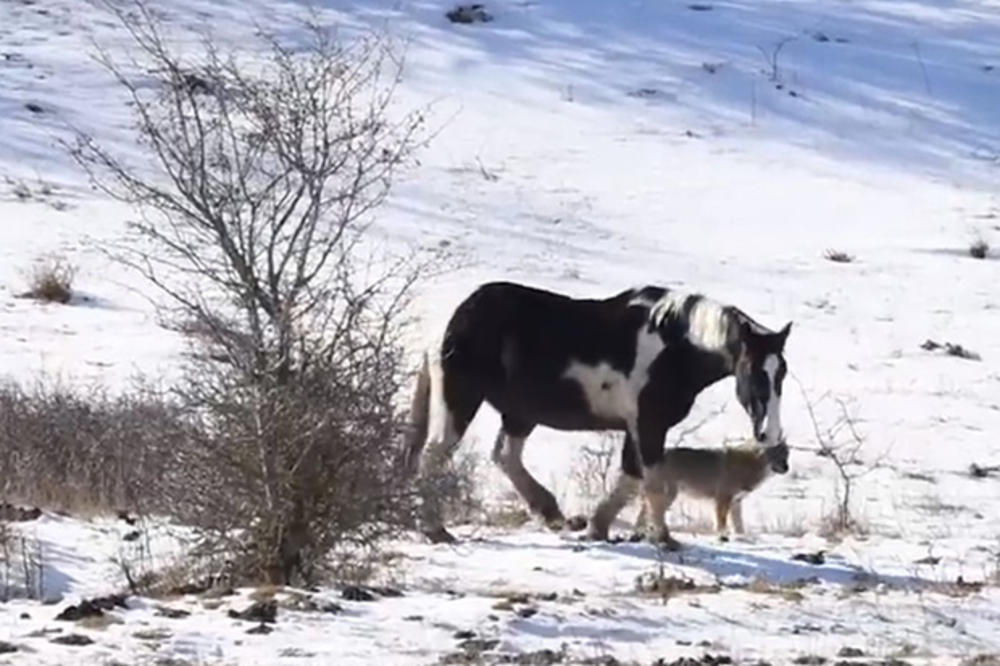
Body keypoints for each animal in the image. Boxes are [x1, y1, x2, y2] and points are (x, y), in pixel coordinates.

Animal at [404, 280, 788, 544]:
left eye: (781, 372)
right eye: (753, 371)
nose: (768, 434)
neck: (674, 347)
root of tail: (451, 322)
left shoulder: (636, 427)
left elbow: (631, 478)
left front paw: (598, 527)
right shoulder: (649, 425)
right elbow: (653, 483)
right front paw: (663, 538)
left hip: (519, 413)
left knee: (505, 456)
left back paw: (552, 514)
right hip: (460, 401)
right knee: (434, 457)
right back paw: (436, 529)